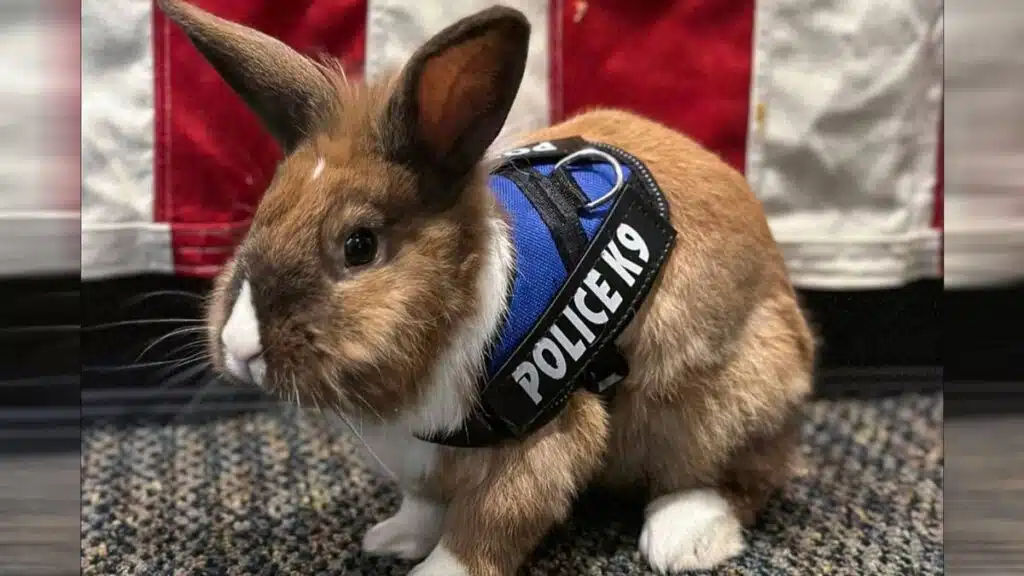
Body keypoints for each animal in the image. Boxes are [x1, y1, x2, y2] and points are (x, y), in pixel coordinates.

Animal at [159, 1, 815, 574]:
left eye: (359, 245)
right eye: (262, 215)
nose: (240, 345)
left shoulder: (543, 439)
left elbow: (487, 526)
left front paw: (432, 571)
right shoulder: (423, 458)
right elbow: (425, 505)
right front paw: (392, 538)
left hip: (721, 403)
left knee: (740, 478)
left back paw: (682, 539)